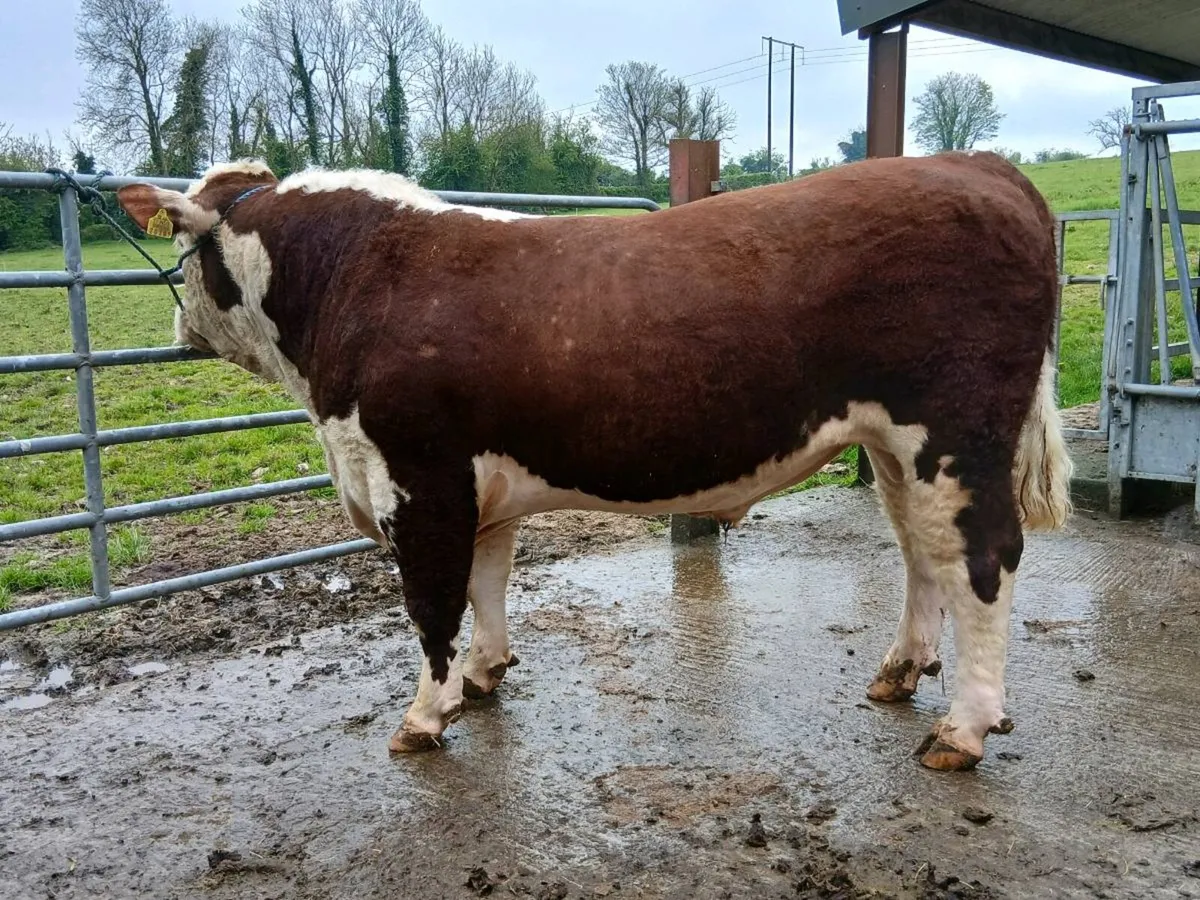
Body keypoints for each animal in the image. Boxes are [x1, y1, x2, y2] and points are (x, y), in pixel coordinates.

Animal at [115, 150, 1072, 771]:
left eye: (189, 249)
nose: (179, 328)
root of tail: (983, 166)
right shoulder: (477, 486)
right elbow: (488, 583)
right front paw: (485, 675)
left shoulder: (418, 480)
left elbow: (431, 604)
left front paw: (425, 715)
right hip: (896, 447)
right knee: (921, 552)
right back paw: (899, 673)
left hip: (956, 432)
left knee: (981, 558)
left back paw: (962, 730)